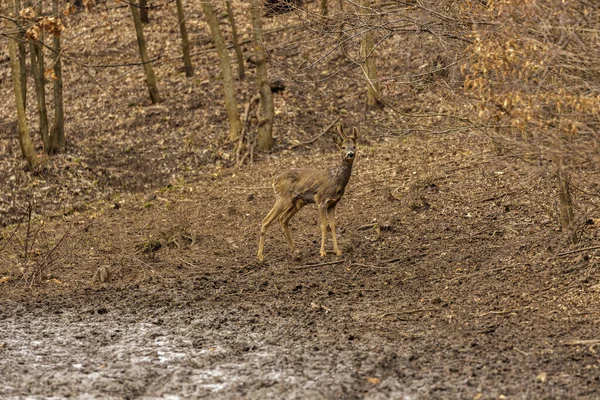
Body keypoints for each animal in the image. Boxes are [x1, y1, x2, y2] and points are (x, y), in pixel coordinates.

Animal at [256, 122, 358, 260]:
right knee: (266, 220)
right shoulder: (321, 200)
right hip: (283, 198)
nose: (350, 154)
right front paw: (322, 252)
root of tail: (274, 180)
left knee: (283, 219)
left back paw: (295, 249)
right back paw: (260, 255)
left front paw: (337, 251)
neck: (336, 180)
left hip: (297, 202)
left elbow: (333, 225)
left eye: (354, 146)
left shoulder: (333, 203)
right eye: (343, 147)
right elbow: (323, 226)